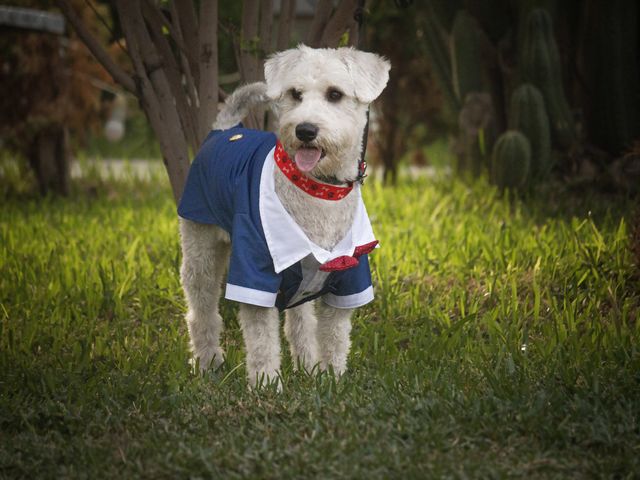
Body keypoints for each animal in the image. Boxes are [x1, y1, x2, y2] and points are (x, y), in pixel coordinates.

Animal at [180, 45, 390, 388]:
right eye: (295, 93)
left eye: (335, 94)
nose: (305, 130)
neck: (317, 190)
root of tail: (224, 130)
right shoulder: (255, 274)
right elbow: (262, 340)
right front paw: (266, 385)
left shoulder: (350, 278)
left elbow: (334, 338)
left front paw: (331, 380)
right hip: (201, 247)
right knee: (202, 311)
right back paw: (208, 363)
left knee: (299, 321)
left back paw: (307, 366)